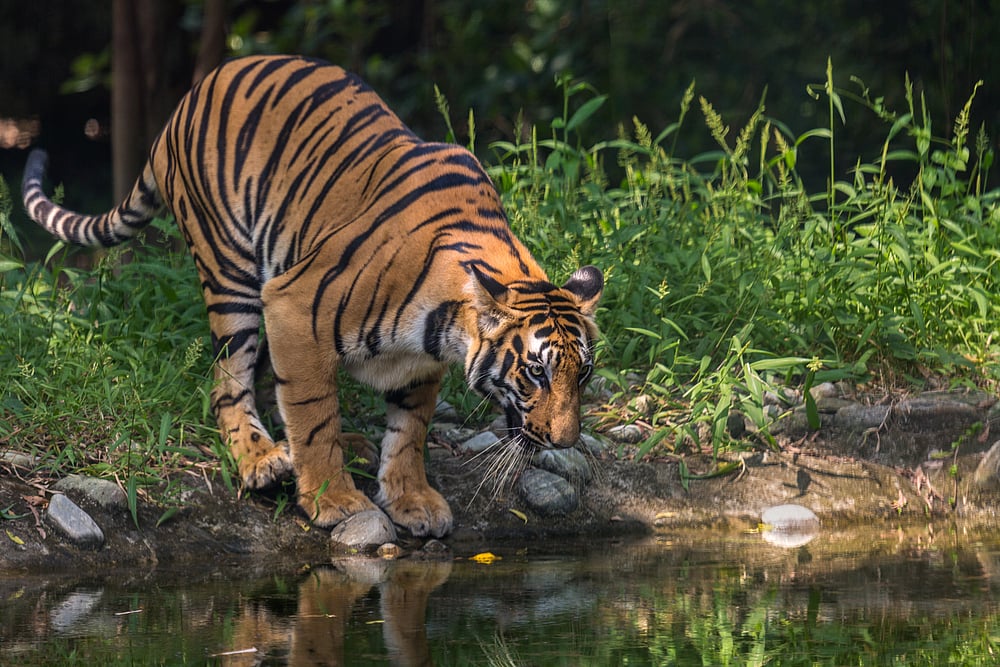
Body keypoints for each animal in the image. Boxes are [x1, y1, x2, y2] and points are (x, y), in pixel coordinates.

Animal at [22, 54, 602, 538]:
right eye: (536, 372)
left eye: (584, 374)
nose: (565, 442)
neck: (442, 331)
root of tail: (194, 93)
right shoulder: (294, 310)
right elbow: (313, 415)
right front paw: (334, 502)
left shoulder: (419, 365)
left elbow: (409, 432)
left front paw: (411, 500)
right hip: (230, 272)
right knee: (228, 380)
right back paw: (262, 459)